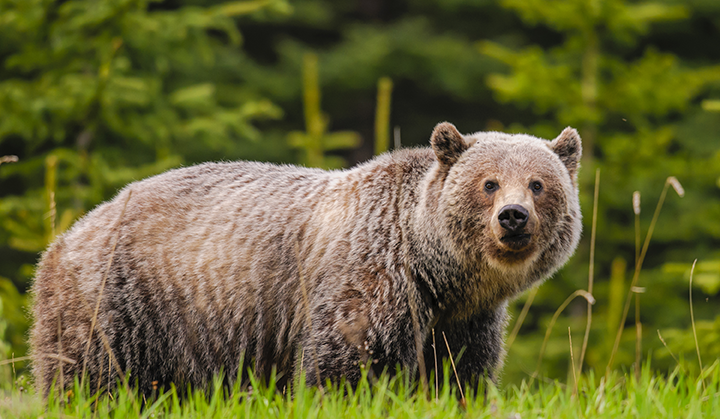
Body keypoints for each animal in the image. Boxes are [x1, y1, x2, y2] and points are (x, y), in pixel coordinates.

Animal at [30, 122, 582, 397]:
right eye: (489, 182)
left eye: (538, 183)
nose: (513, 217)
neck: (438, 271)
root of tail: (70, 233)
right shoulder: (371, 280)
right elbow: (346, 364)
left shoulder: (461, 319)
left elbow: (459, 372)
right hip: (121, 302)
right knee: (91, 378)